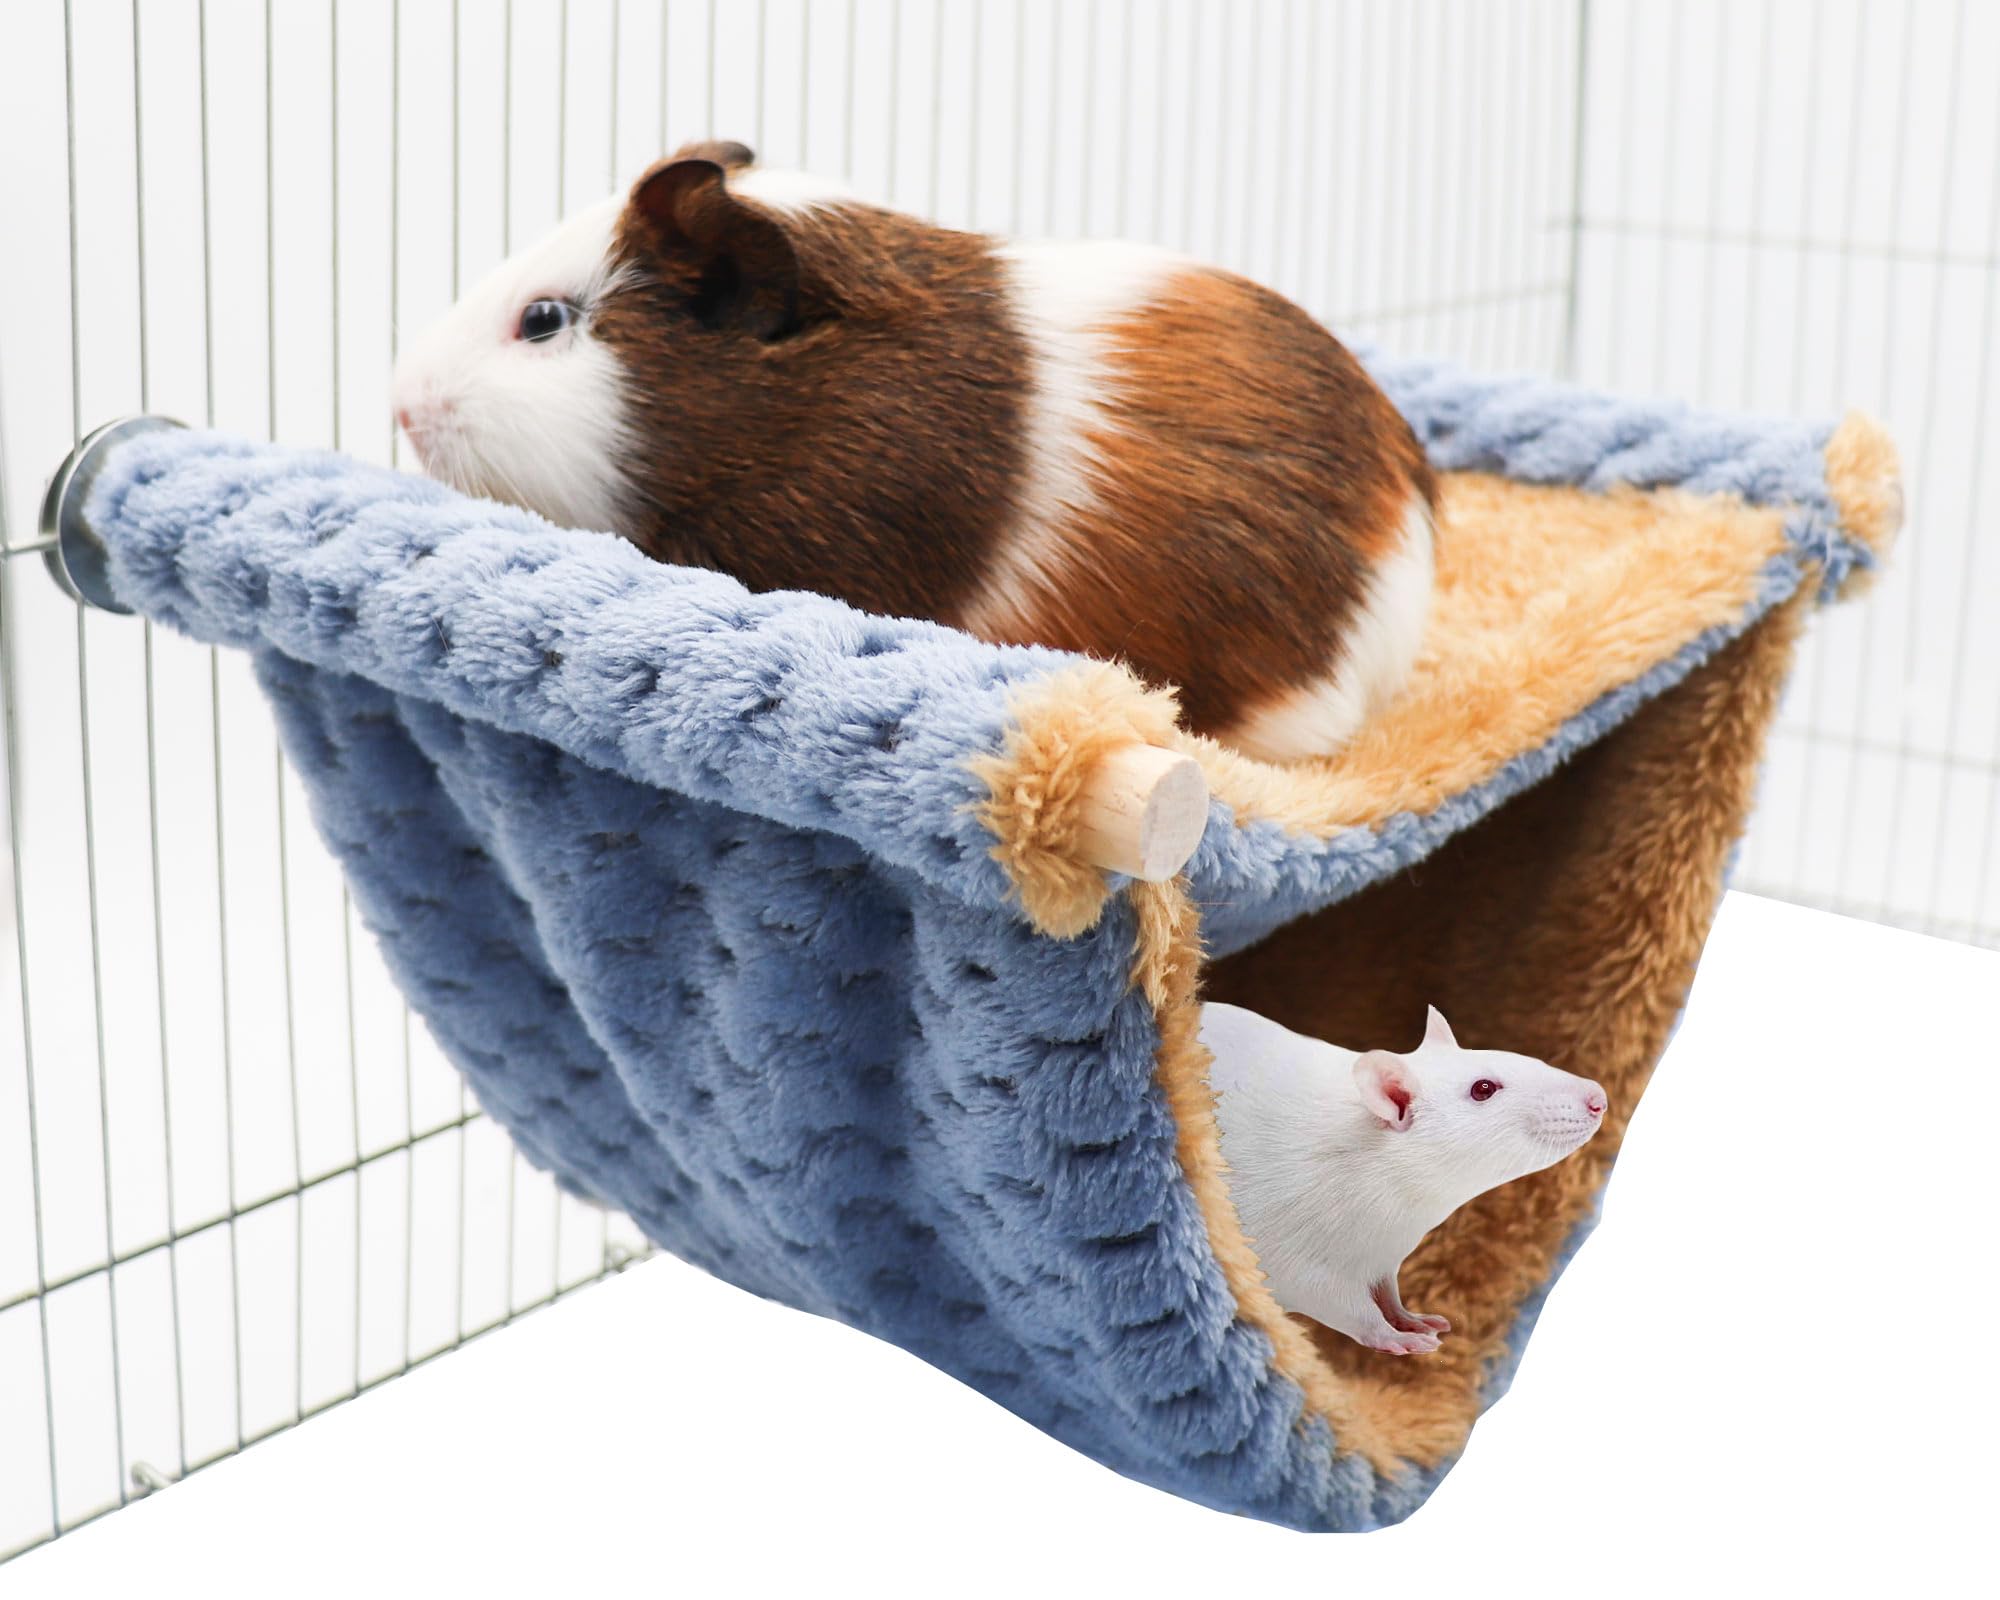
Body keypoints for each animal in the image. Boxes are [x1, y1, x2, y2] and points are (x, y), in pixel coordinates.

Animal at [1202, 1001, 1607, 1355]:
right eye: (1484, 1089)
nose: (1599, 1098)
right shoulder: (1293, 1233)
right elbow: (1325, 1293)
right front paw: (1390, 1334)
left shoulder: (1380, 1253)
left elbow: (1385, 1290)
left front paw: (1406, 1317)